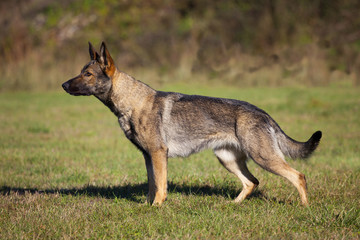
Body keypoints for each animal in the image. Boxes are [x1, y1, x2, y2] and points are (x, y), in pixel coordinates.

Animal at [60, 42, 322, 205]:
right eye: (81, 72)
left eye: (87, 75)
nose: (63, 85)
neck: (131, 101)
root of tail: (263, 113)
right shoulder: (148, 156)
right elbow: (152, 185)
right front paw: (147, 206)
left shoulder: (158, 154)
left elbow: (161, 186)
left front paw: (157, 207)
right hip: (227, 159)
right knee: (252, 182)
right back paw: (232, 204)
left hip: (264, 158)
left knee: (298, 176)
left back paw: (304, 207)